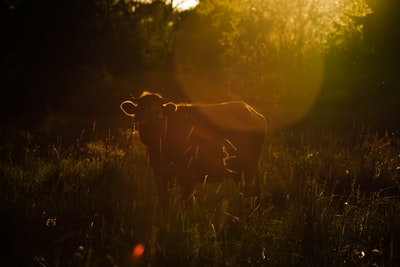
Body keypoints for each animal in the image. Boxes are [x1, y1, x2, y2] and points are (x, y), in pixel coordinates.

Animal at [121, 91, 266, 206]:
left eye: (158, 114)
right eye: (140, 112)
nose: (148, 131)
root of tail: (252, 112)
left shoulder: (187, 177)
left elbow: (187, 204)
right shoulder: (160, 176)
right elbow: (164, 204)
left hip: (250, 167)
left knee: (248, 193)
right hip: (239, 170)